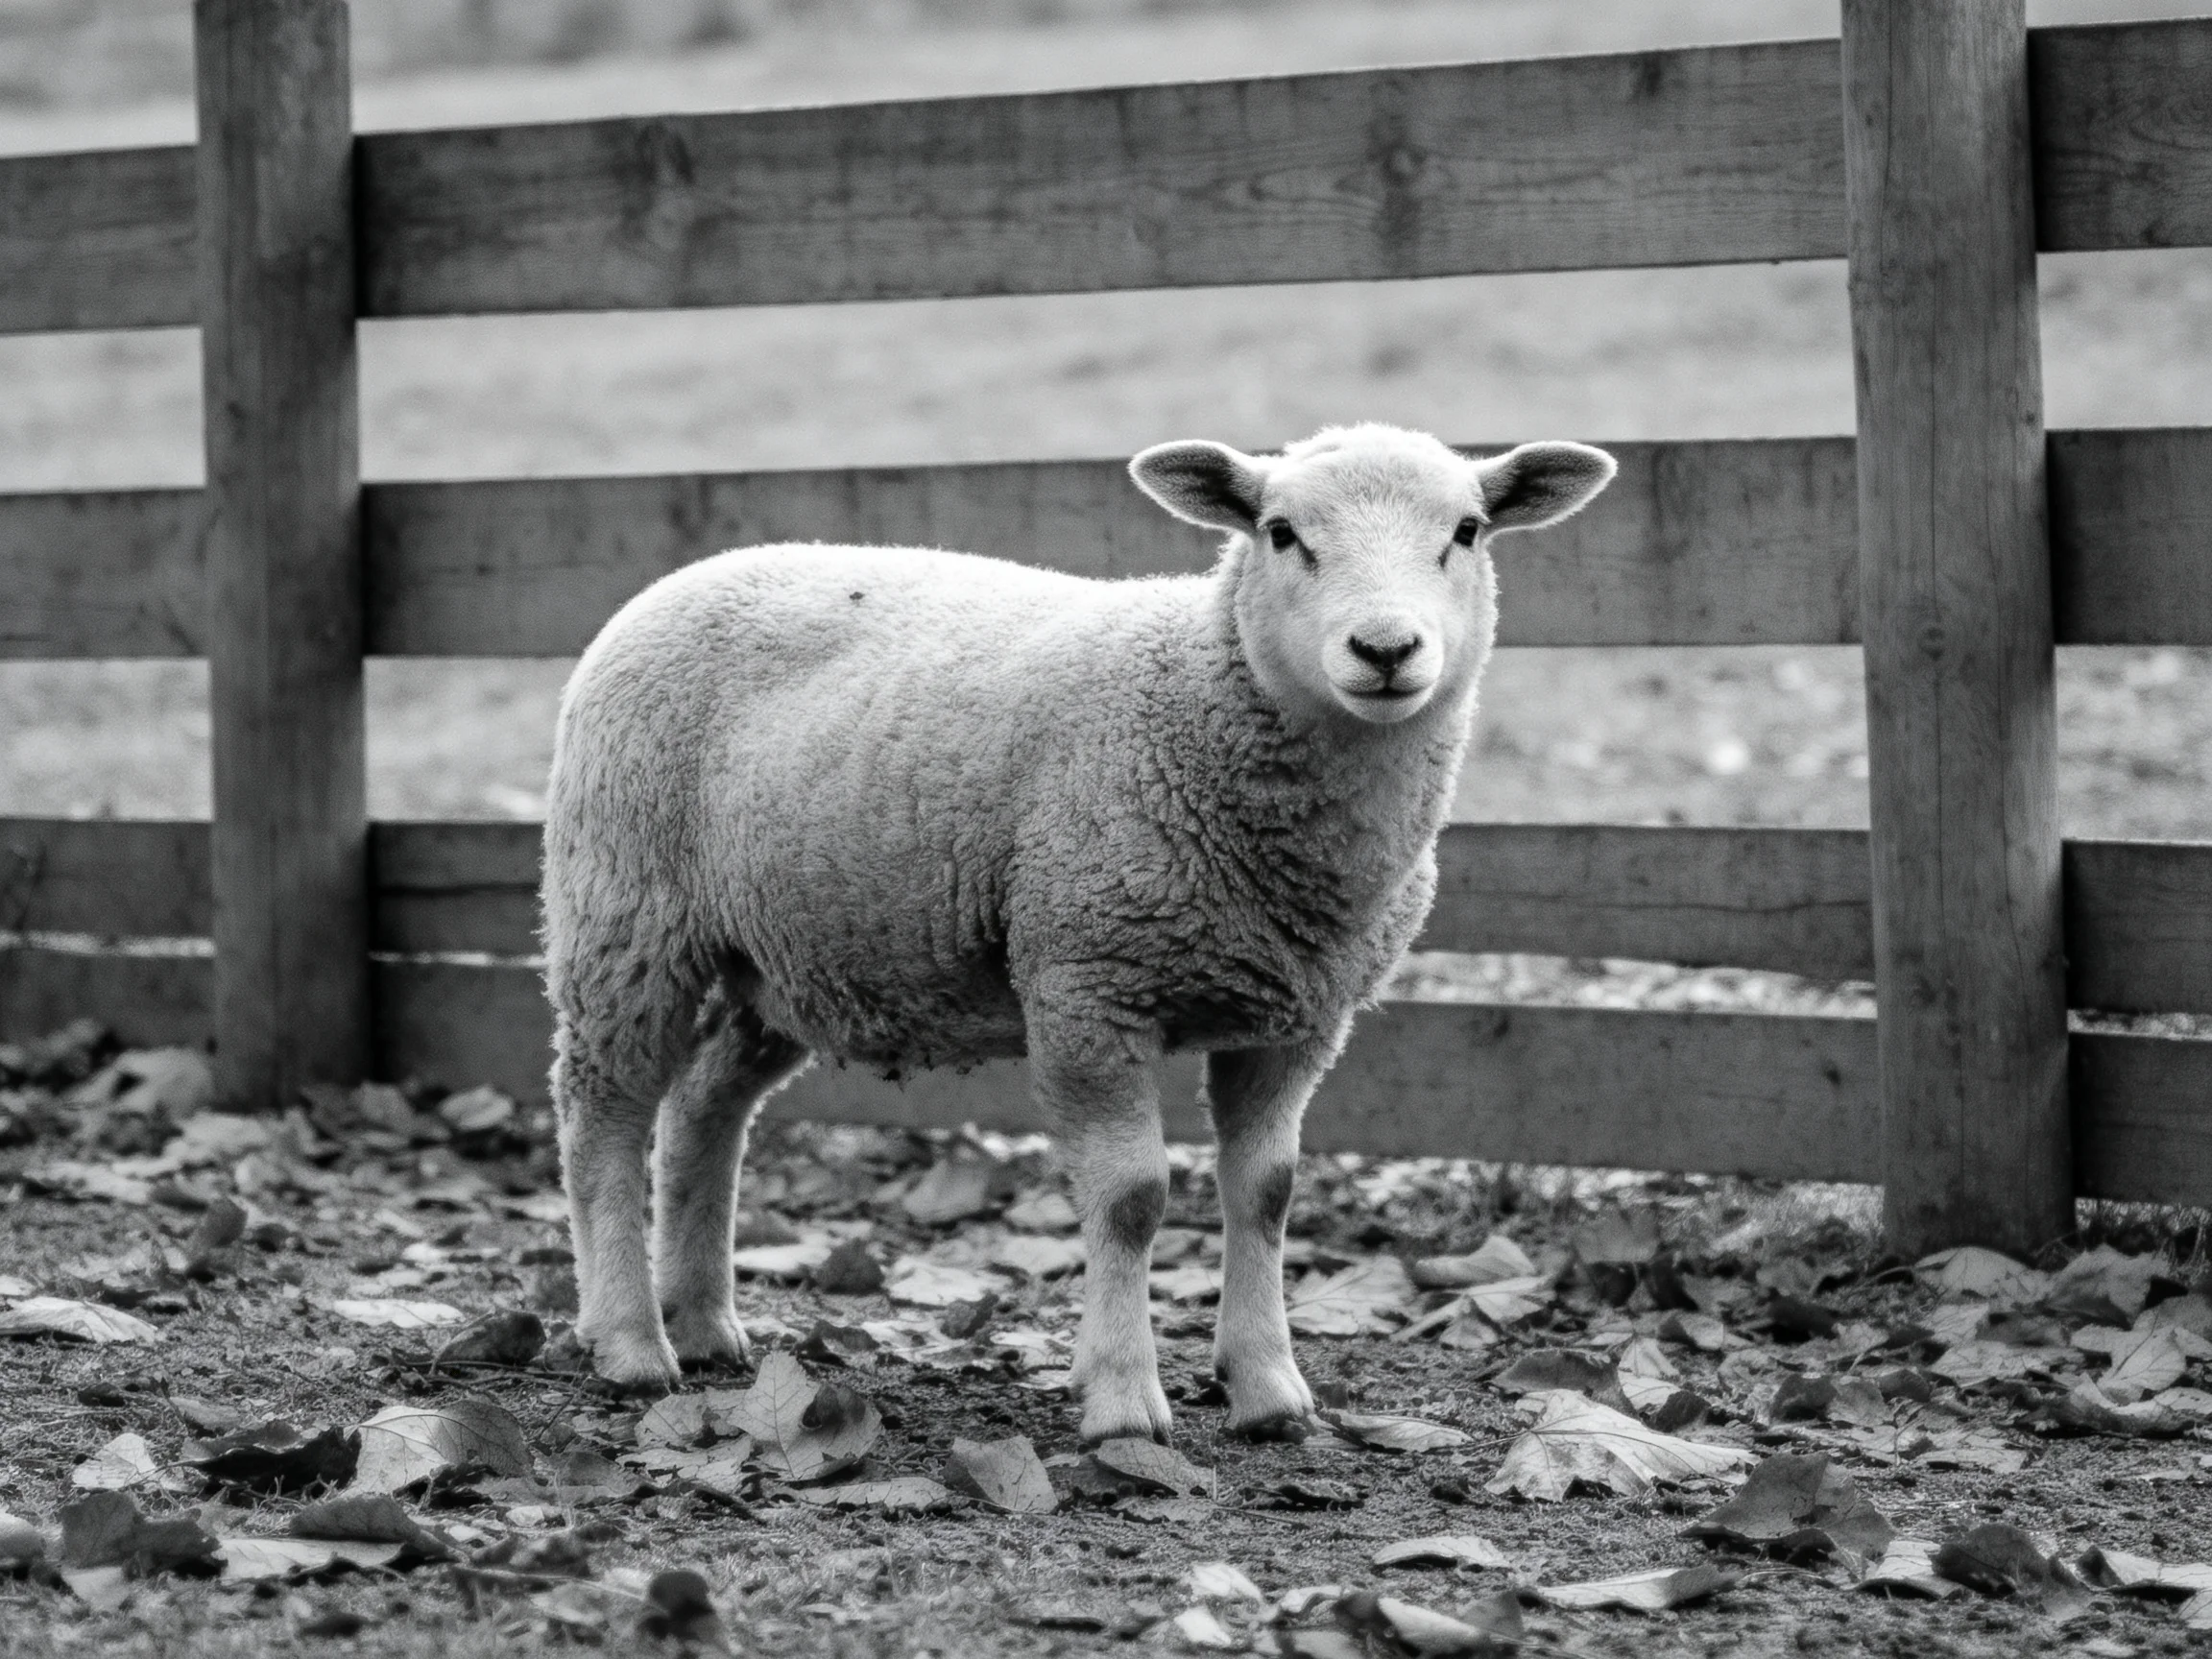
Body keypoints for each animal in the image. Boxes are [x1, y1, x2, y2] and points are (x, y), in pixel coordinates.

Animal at [543, 421, 1616, 1443]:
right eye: (1281, 533)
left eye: (1467, 531)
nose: (1386, 650)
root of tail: (692, 574)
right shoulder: (1087, 984)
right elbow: (1133, 1199)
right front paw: (1123, 1401)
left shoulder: (1300, 1019)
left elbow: (1267, 1191)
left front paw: (1268, 1389)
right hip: (625, 914)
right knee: (603, 1114)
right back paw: (630, 1341)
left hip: (784, 956)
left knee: (703, 1111)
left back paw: (703, 1321)